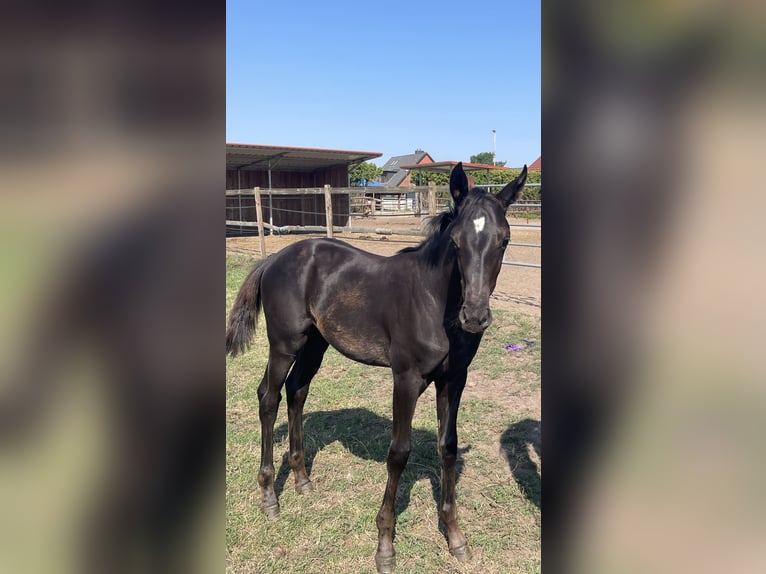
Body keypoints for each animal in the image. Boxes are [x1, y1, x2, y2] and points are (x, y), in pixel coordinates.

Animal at [226, 162, 527, 573]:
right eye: (456, 242)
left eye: (504, 241)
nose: (476, 317)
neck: (435, 301)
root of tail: (275, 259)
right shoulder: (406, 378)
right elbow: (398, 452)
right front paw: (385, 546)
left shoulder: (454, 379)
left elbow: (447, 446)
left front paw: (455, 538)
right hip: (284, 344)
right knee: (268, 397)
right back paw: (270, 497)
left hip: (316, 343)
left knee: (297, 390)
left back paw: (302, 480)